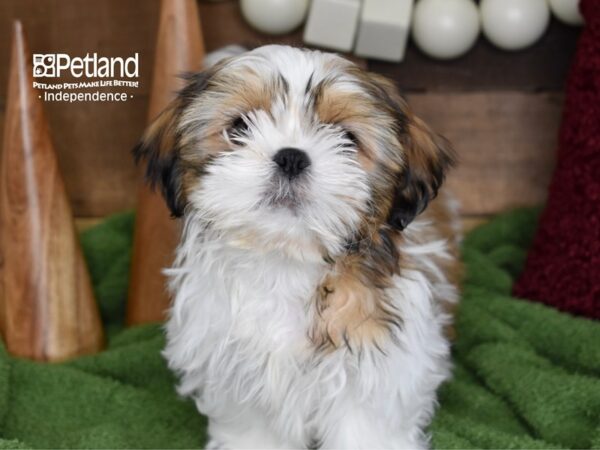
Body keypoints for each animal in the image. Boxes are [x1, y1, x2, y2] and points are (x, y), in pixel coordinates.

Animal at [135, 45, 460, 450]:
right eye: (239, 127)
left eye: (346, 138)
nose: (291, 156)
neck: (286, 259)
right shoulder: (235, 361)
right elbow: (253, 424)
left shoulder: (375, 362)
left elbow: (366, 424)